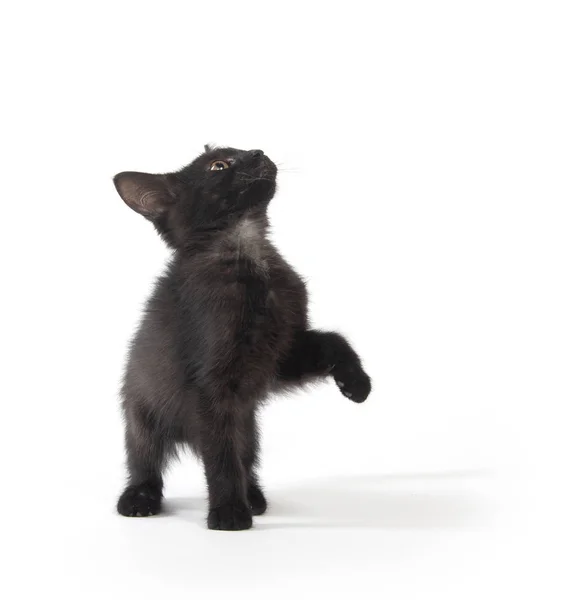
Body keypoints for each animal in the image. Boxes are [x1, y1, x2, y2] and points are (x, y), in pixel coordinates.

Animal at [112, 146, 370, 528]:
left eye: (239, 150)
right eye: (219, 166)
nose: (257, 151)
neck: (248, 250)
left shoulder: (281, 357)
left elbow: (334, 340)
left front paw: (356, 383)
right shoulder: (211, 387)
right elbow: (221, 457)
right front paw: (229, 513)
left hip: (248, 426)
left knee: (246, 458)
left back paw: (254, 495)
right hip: (142, 413)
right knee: (145, 461)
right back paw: (139, 498)